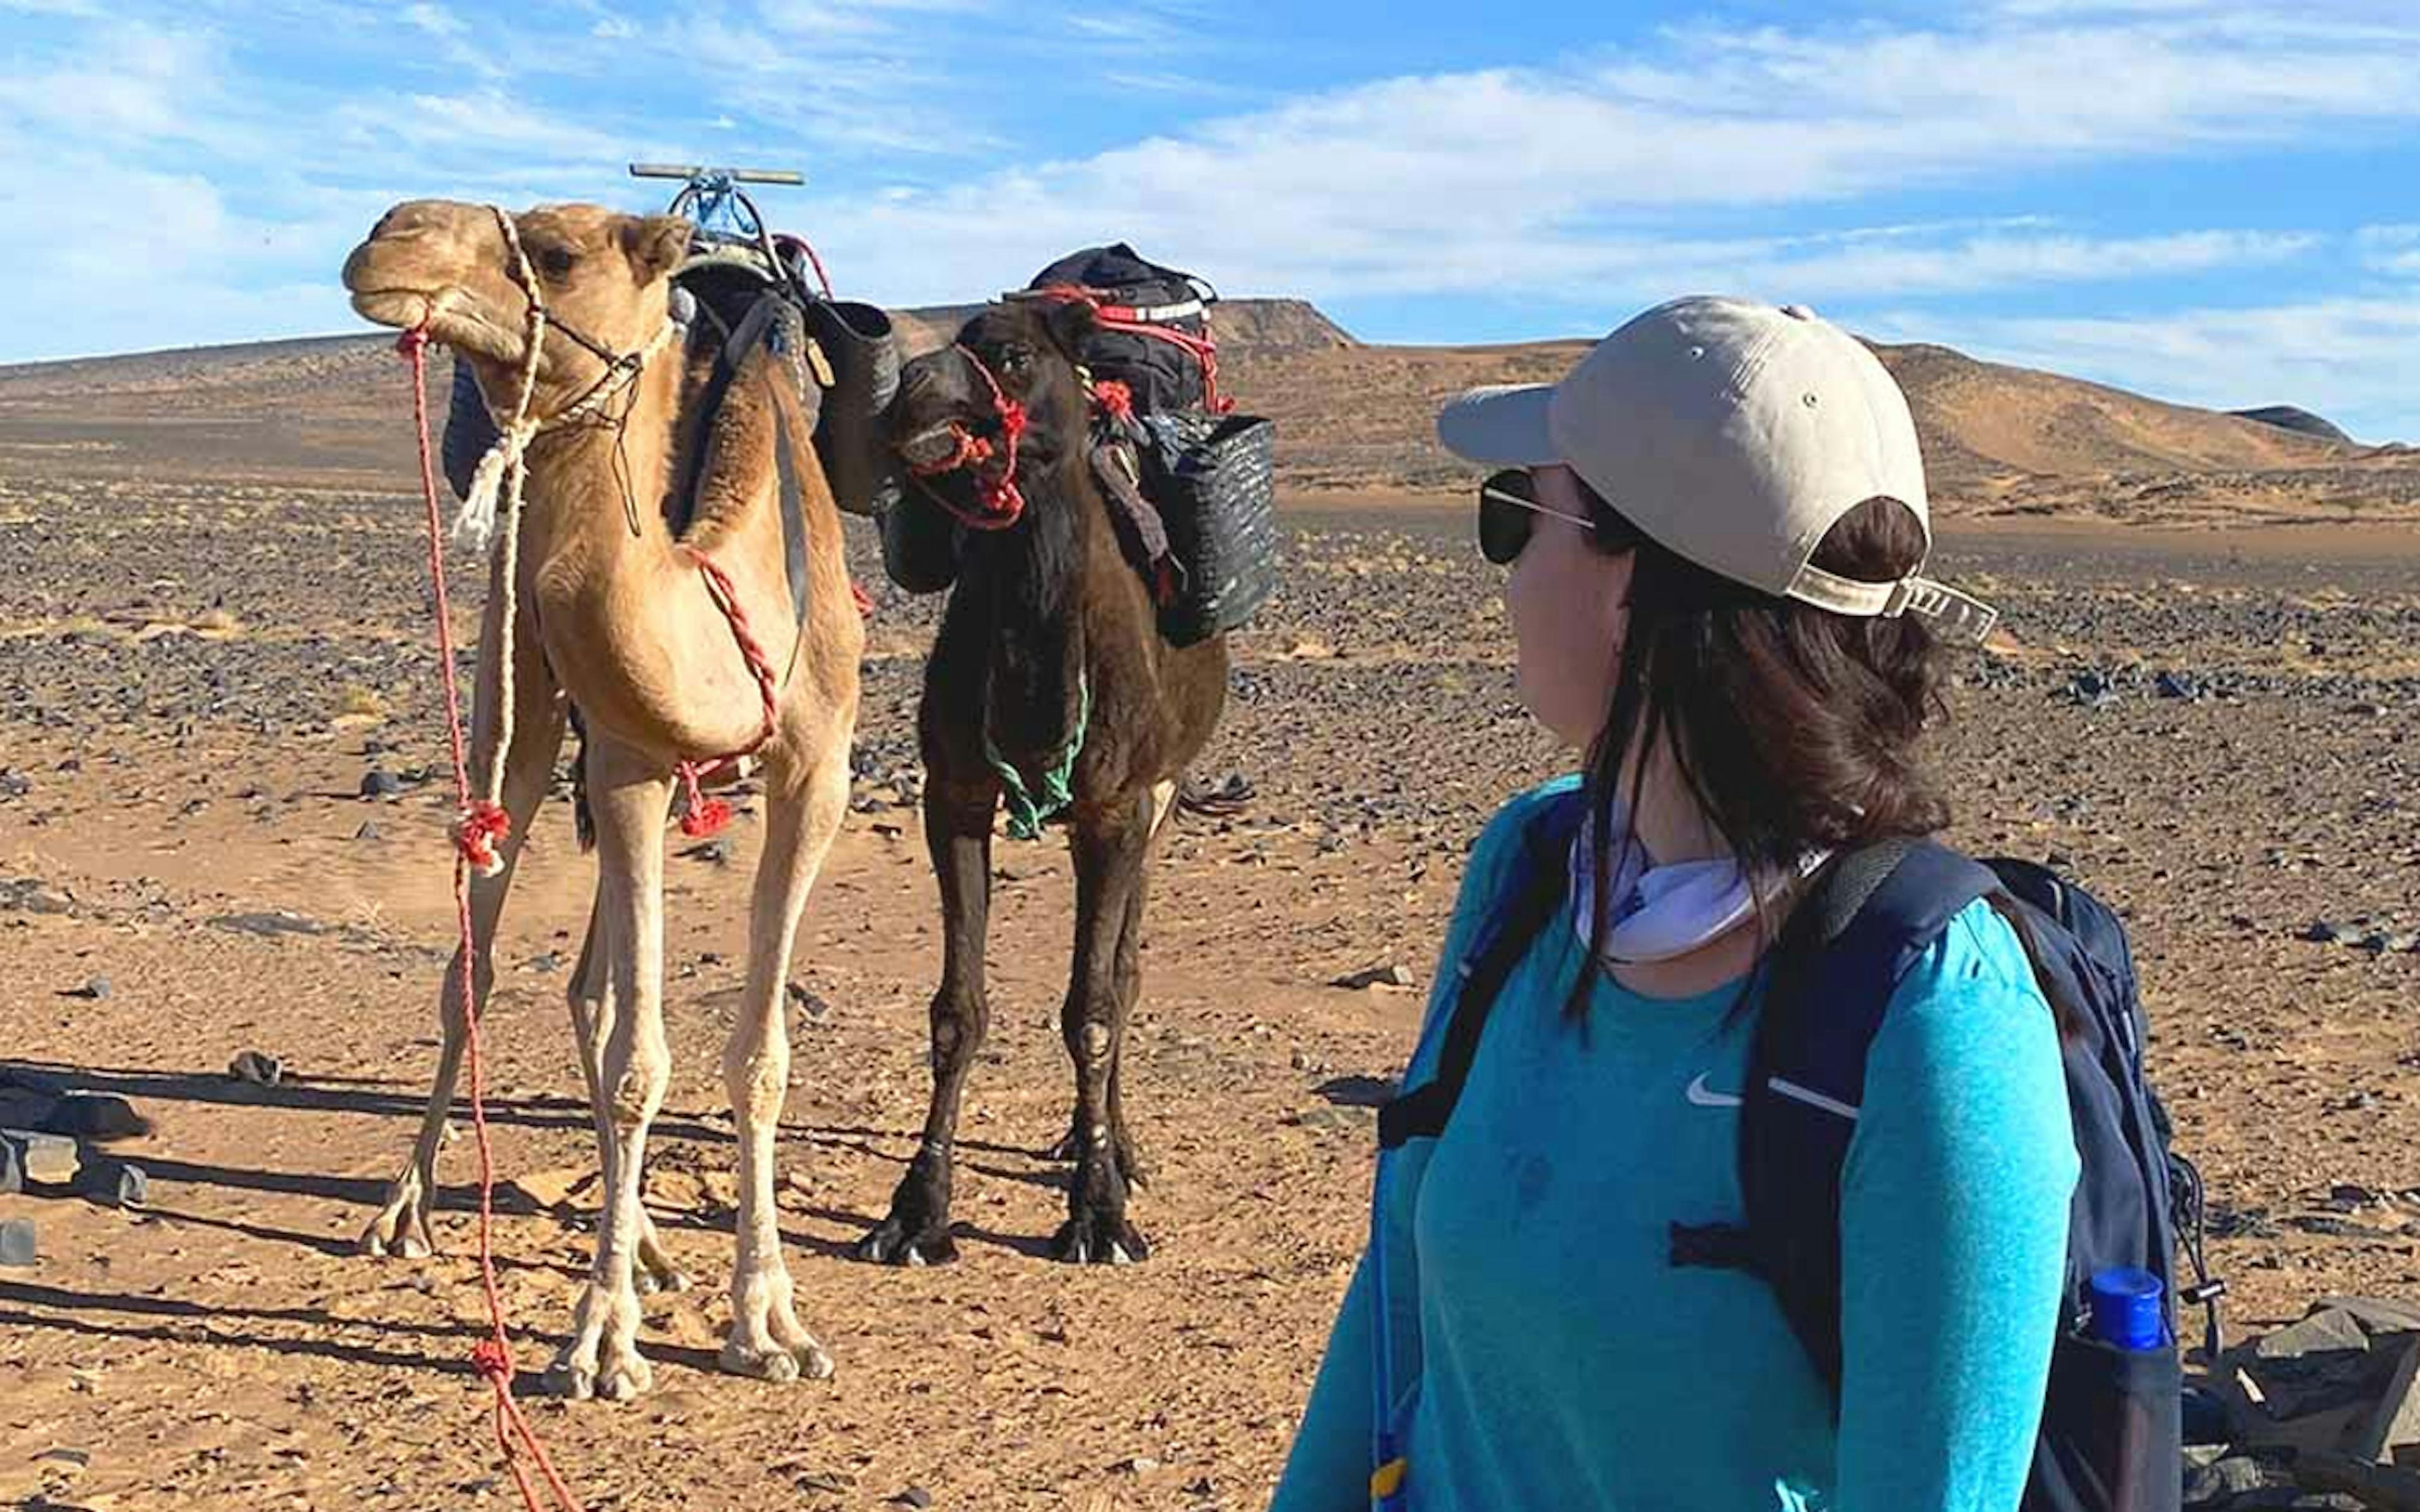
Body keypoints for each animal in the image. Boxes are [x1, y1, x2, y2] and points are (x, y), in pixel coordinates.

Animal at [336, 200, 866, 1403]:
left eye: (560, 253)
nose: (387, 236)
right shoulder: (626, 759)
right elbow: (639, 1060)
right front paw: (601, 1341)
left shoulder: (817, 771)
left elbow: (755, 1059)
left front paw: (771, 1321)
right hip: (517, 706)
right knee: (477, 970)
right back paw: (408, 1209)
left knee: (587, 988)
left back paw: (660, 1245)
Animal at [856, 297, 1229, 1257]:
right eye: (948, 344)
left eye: (1015, 357)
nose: (912, 397)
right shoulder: (952, 794)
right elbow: (957, 1012)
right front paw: (916, 1210)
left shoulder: (1116, 807)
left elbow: (1091, 1007)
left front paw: (1099, 1212)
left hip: (1162, 798)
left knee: (1125, 973)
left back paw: (1116, 1149)